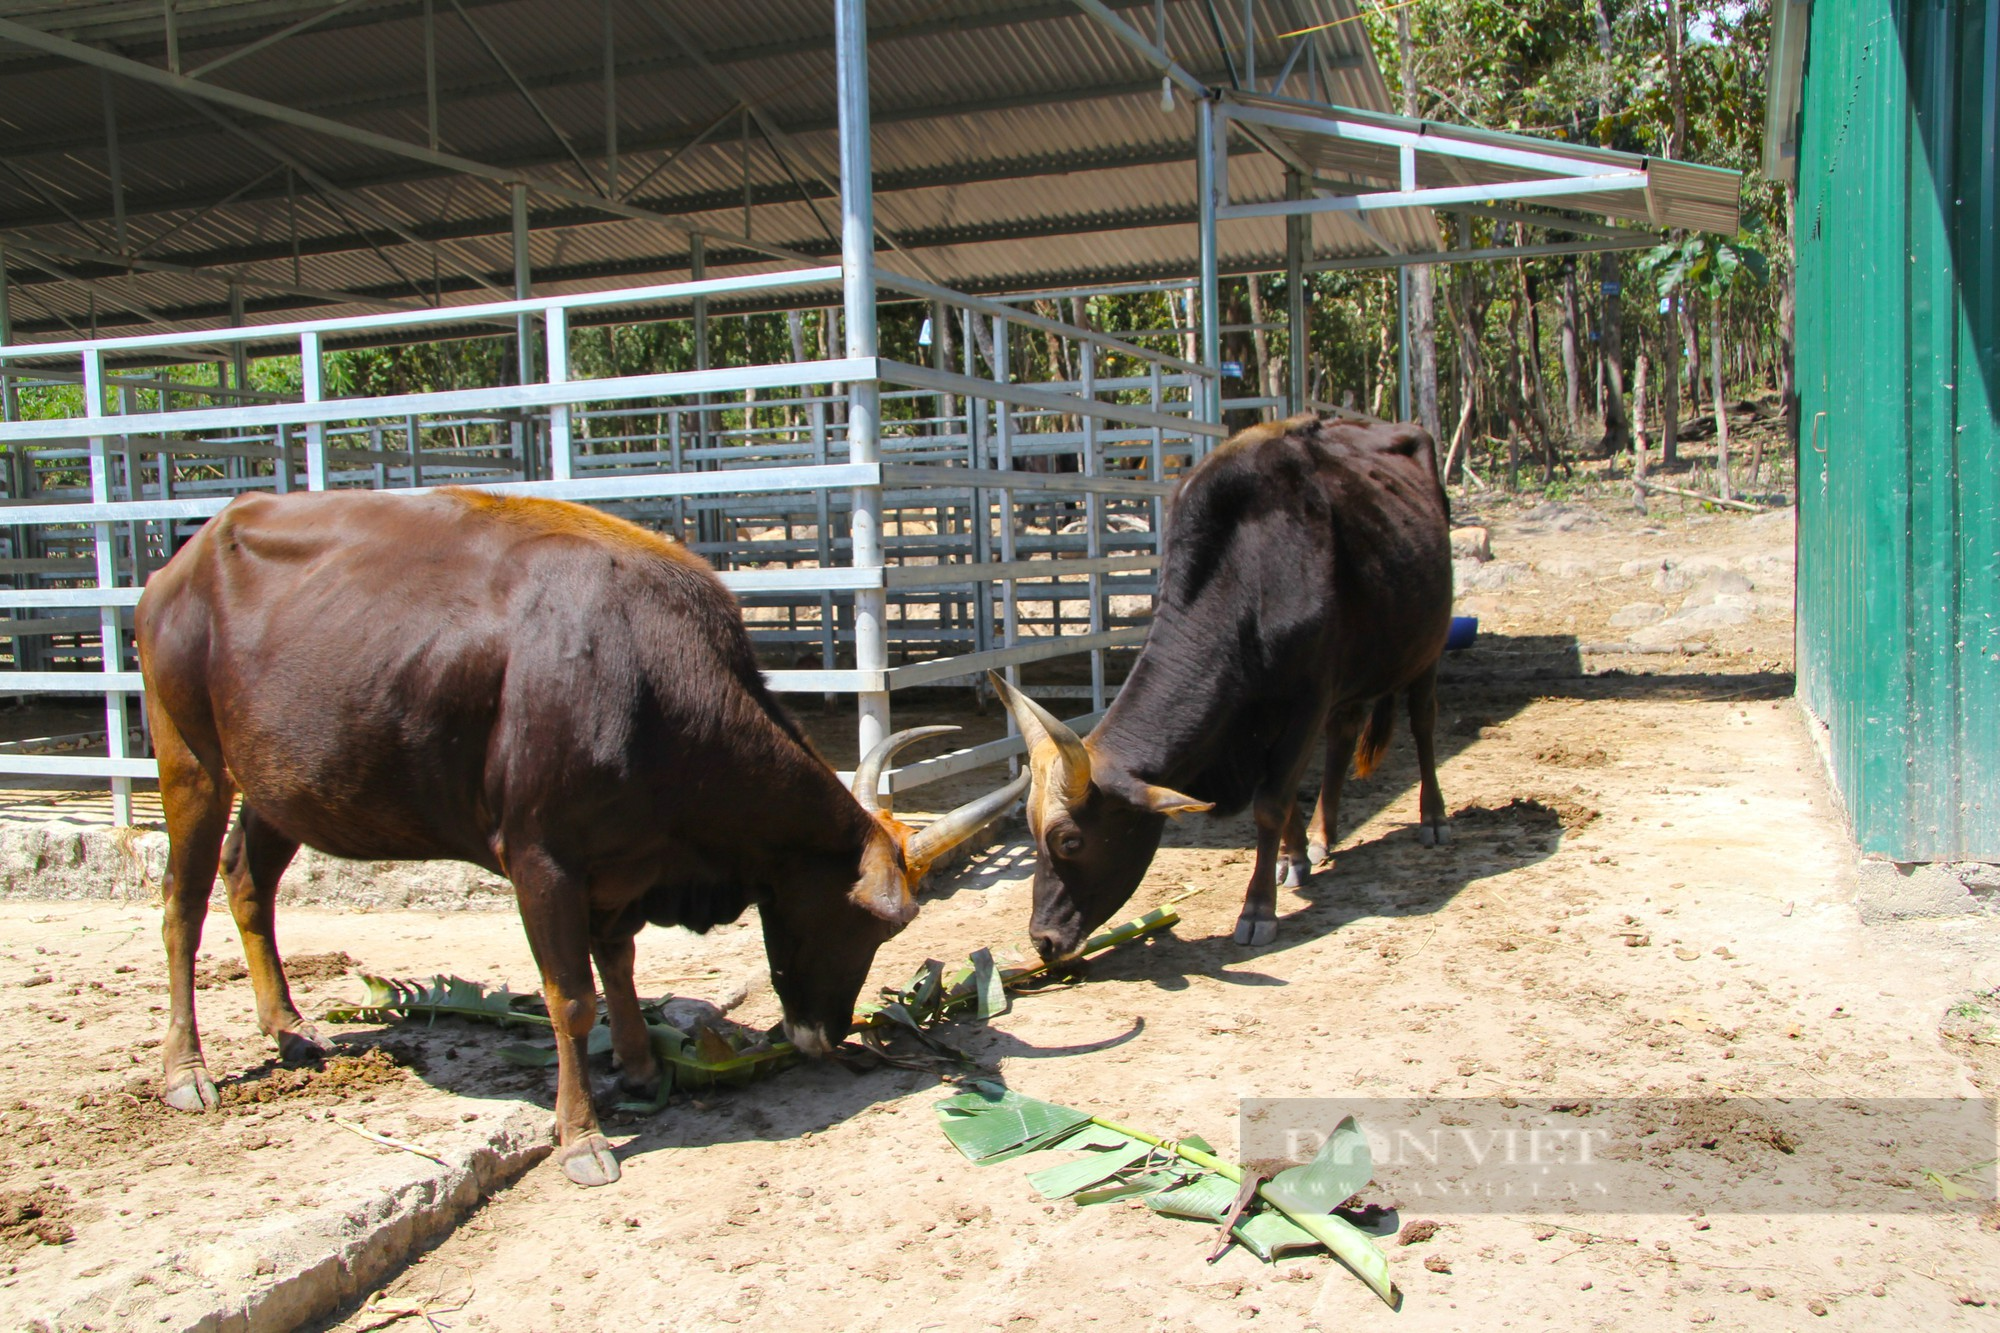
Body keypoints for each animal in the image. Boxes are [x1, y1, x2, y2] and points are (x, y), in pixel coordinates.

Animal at [133, 488, 1024, 1184]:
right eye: (871, 920)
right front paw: (581, 1134)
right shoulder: (542, 861)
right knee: (181, 902)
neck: (648, 675)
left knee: (248, 880)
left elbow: (619, 962)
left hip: (281, 786)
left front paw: (637, 1063)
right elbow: (570, 996)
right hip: (191, 761)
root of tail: (186, 559)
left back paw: (287, 1025)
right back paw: (185, 1070)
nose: (825, 1035)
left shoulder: (625, 864)